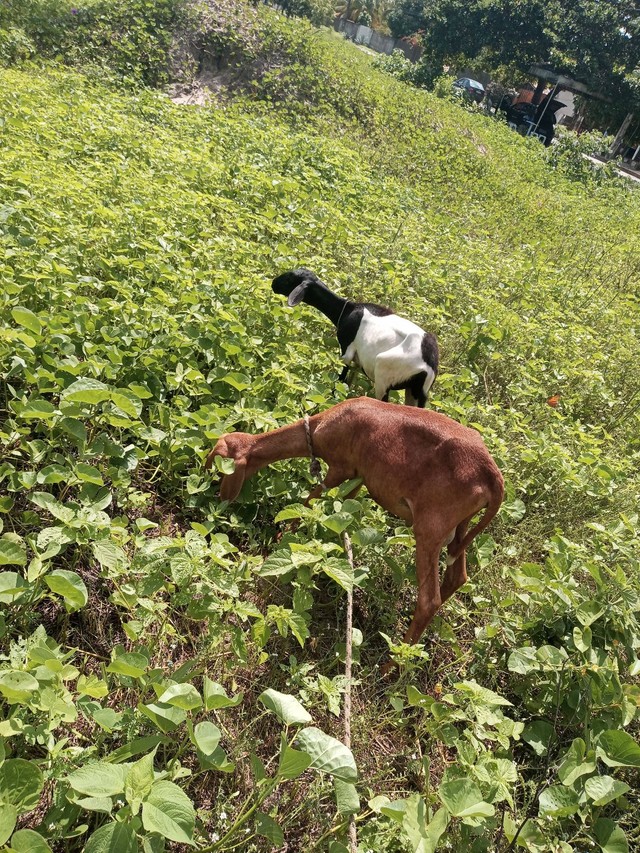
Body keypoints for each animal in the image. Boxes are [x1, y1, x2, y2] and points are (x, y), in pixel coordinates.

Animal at [206, 398, 504, 644]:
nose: (218, 498)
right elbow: (337, 504)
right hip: (460, 526)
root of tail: (492, 476)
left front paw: (283, 536)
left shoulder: (340, 468)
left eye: (222, 465)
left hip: (430, 526)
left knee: (430, 600)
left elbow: (311, 499)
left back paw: (394, 663)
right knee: (458, 577)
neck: (322, 425)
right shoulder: (358, 478)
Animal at [272, 272, 438, 408]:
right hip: (417, 391)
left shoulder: (346, 349)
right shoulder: (359, 360)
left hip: (384, 375)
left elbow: (341, 377)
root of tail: (429, 361)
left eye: (289, 279)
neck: (347, 310)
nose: (273, 284)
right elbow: (351, 379)